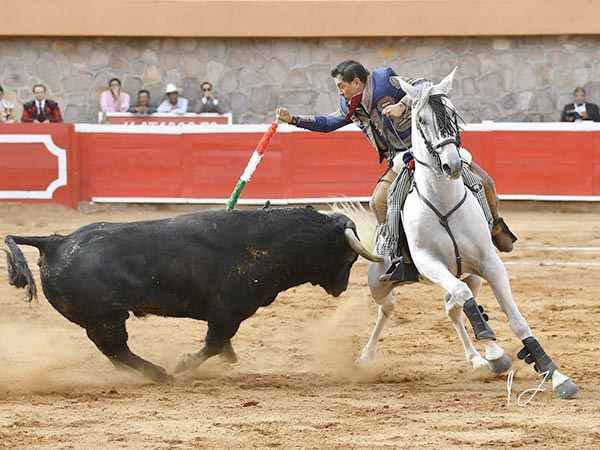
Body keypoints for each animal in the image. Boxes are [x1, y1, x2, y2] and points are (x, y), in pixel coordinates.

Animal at [3, 207, 380, 380]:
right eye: (349, 257)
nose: (342, 287)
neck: (269, 242)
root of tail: (56, 241)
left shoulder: (223, 316)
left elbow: (221, 346)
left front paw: (226, 359)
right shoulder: (227, 313)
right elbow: (213, 343)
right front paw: (185, 363)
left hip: (101, 319)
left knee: (112, 352)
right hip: (105, 318)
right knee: (115, 348)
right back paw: (160, 373)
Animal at [350, 68, 580, 400]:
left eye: (452, 113)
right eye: (421, 120)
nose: (452, 164)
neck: (444, 200)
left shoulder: (489, 264)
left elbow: (516, 319)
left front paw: (555, 375)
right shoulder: (428, 263)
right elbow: (462, 297)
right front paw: (489, 337)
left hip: (471, 273)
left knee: (453, 309)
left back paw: (486, 358)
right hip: (378, 281)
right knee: (390, 307)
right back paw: (365, 358)